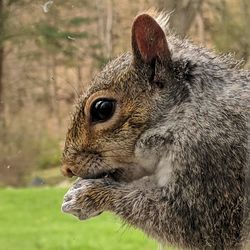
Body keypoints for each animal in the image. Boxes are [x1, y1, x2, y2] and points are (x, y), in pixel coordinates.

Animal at [61, 10, 250, 249]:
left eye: (103, 109)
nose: (67, 168)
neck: (187, 113)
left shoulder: (213, 160)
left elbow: (186, 221)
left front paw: (89, 195)